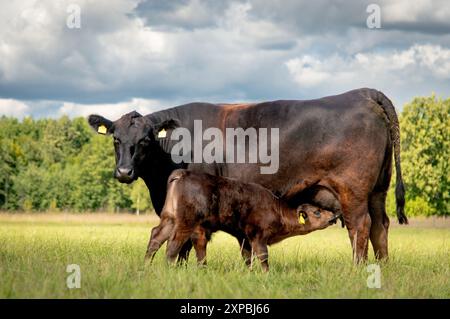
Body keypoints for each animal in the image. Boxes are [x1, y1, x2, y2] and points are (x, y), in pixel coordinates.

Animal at [146, 170, 340, 272]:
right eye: (316, 212)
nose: (333, 217)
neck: (276, 209)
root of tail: (183, 173)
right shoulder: (257, 236)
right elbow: (262, 255)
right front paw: (266, 273)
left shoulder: (244, 238)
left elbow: (248, 257)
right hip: (185, 222)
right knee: (173, 243)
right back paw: (169, 269)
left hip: (170, 219)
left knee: (156, 237)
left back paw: (146, 265)